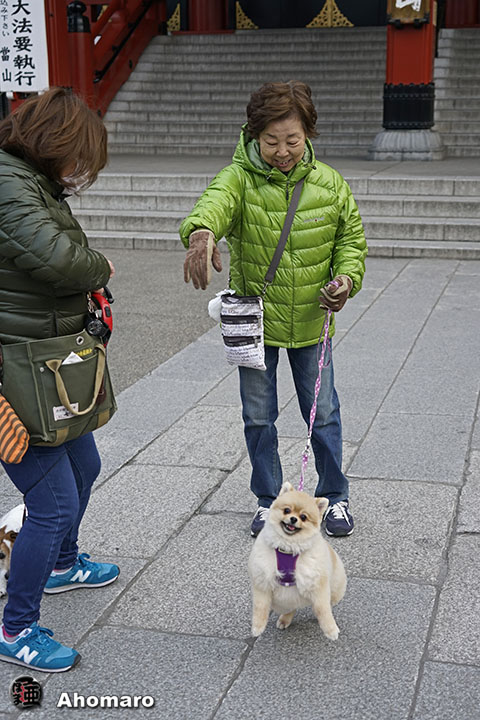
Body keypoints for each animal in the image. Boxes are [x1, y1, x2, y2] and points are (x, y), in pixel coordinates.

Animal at [248, 482, 346, 639]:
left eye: (304, 517)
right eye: (287, 510)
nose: (294, 519)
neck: (288, 548)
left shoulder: (316, 583)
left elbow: (322, 609)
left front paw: (331, 630)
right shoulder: (262, 580)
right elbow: (260, 606)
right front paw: (257, 627)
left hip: (336, 590)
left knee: (327, 603)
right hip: (282, 600)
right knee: (290, 608)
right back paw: (284, 619)